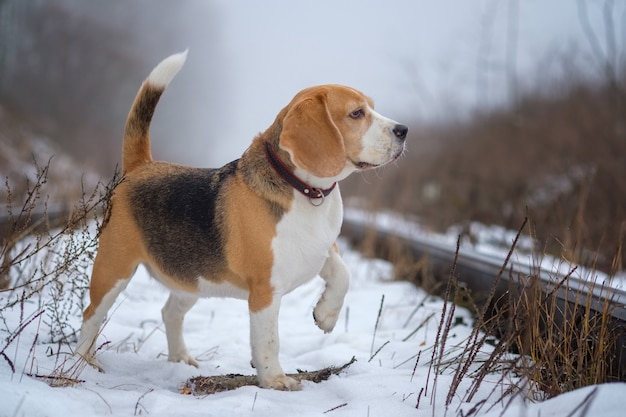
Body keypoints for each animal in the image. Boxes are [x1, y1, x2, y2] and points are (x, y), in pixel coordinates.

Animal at [75, 51, 408, 390]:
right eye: (356, 113)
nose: (403, 130)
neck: (306, 192)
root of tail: (141, 166)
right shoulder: (265, 290)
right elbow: (269, 340)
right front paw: (275, 380)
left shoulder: (321, 248)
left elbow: (343, 275)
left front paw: (326, 315)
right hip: (114, 268)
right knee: (91, 314)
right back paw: (84, 362)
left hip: (193, 279)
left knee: (169, 313)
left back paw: (181, 359)